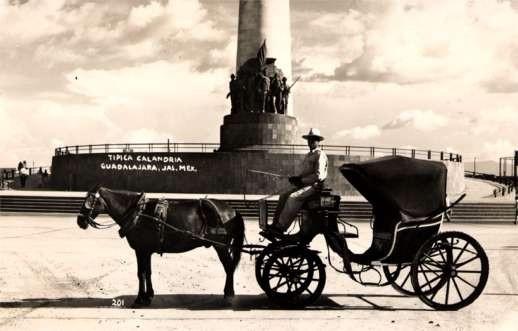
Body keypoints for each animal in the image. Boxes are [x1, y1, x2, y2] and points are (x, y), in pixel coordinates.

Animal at [76, 187, 247, 308]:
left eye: (90, 200)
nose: (80, 221)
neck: (138, 214)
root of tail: (231, 210)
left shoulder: (141, 250)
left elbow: (141, 273)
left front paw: (140, 298)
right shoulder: (146, 251)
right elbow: (148, 272)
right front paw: (149, 296)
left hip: (221, 247)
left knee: (229, 267)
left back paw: (228, 295)